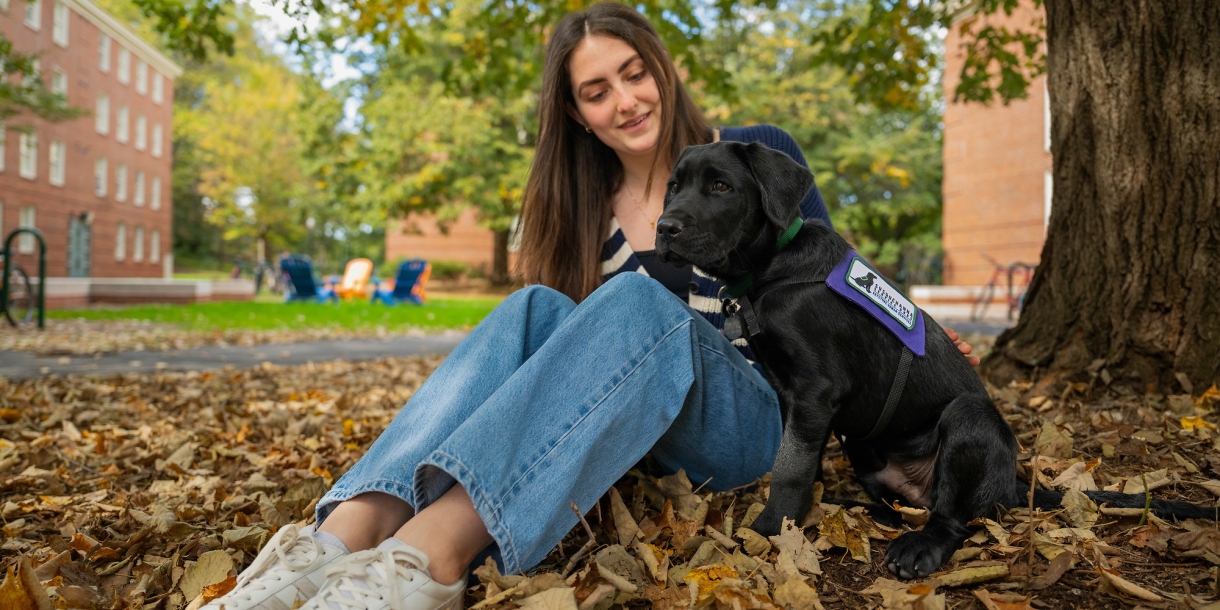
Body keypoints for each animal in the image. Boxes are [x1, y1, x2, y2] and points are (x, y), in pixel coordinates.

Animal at [658, 140, 1210, 578]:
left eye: (721, 186)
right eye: (673, 187)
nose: (664, 227)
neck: (771, 270)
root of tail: (1013, 485)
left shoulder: (815, 391)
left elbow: (791, 464)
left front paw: (773, 527)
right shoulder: (790, 394)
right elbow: (800, 460)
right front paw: (798, 516)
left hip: (969, 420)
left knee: (953, 519)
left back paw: (918, 547)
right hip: (867, 451)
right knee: (903, 507)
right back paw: (848, 508)